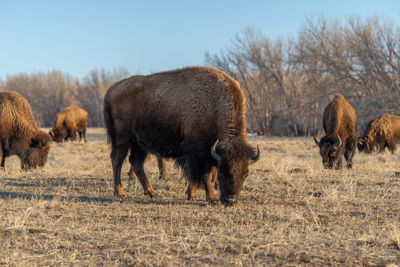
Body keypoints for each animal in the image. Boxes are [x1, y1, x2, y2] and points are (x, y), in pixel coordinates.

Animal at [103, 66, 260, 205]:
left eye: (246, 173)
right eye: (222, 172)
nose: (230, 201)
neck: (214, 105)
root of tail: (110, 91)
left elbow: (195, 175)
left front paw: (191, 194)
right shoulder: (199, 152)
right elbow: (206, 174)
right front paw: (211, 198)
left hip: (139, 142)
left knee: (136, 162)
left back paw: (152, 192)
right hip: (122, 137)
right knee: (117, 159)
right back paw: (120, 192)